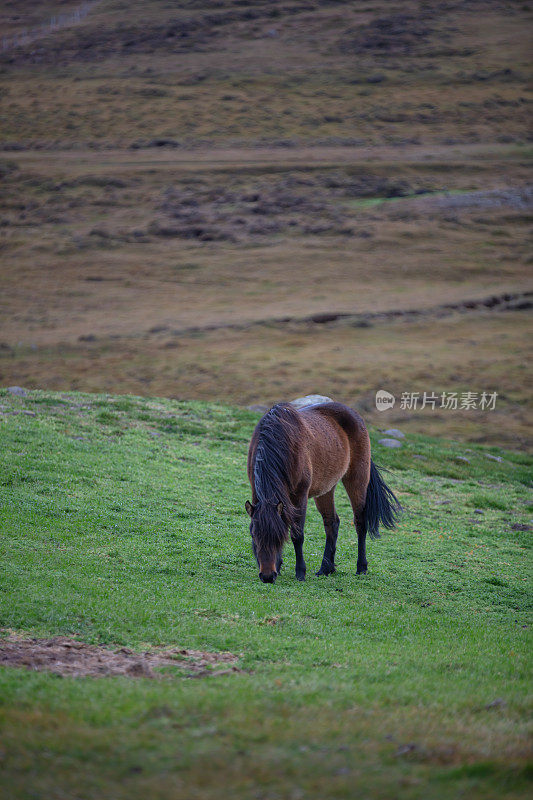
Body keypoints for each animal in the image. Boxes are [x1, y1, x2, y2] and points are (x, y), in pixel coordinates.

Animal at [245, 400, 400, 580]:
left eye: (278, 537)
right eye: (253, 535)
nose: (267, 576)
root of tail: (354, 414)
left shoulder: (299, 496)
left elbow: (297, 535)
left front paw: (300, 572)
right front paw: (279, 564)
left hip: (357, 480)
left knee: (360, 522)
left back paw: (361, 567)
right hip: (326, 489)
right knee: (331, 522)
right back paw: (326, 568)